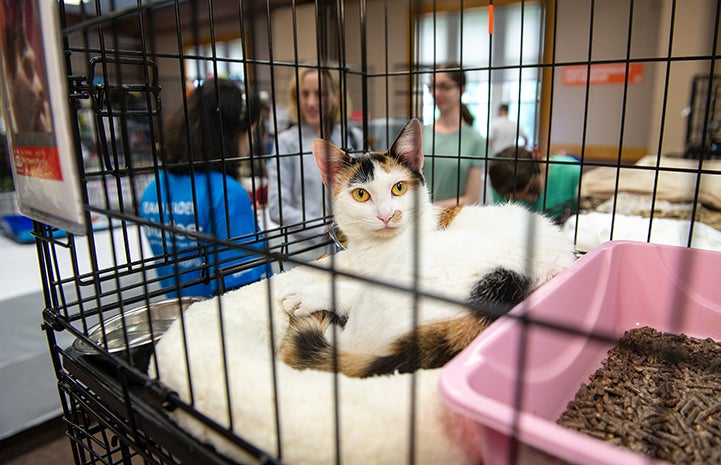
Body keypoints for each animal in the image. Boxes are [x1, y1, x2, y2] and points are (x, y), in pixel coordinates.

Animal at [276, 118, 572, 376]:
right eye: (361, 194)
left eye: (398, 188)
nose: (387, 216)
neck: (373, 247)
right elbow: (339, 261)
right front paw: (313, 266)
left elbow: (349, 285)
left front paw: (302, 294)